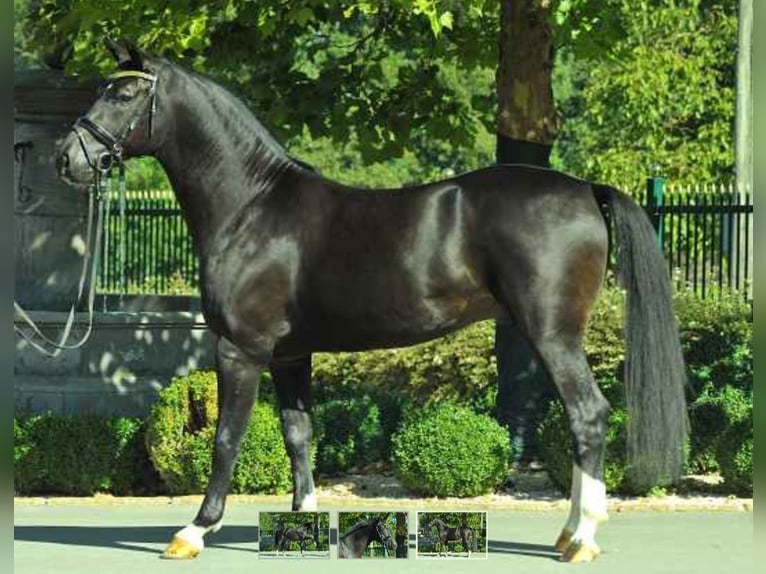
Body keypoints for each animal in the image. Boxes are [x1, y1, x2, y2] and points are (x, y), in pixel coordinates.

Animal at [55, 41, 688, 568]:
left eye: (124, 93)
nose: (67, 159)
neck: (252, 207)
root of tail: (585, 189)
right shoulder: (290, 355)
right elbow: (298, 435)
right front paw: (304, 523)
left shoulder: (240, 350)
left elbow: (227, 439)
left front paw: (194, 531)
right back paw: (567, 534)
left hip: (553, 335)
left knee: (588, 417)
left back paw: (580, 539)